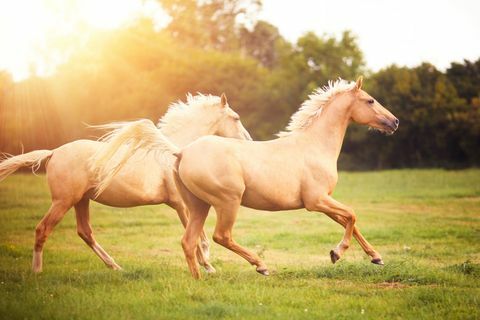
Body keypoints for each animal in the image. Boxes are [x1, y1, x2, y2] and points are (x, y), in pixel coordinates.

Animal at [0, 94, 253, 274]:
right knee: (43, 229)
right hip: (63, 201)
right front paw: (208, 267)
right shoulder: (182, 205)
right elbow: (198, 238)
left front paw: (206, 265)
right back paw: (37, 271)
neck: (174, 152)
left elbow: (198, 236)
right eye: (236, 117)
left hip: (81, 201)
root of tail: (53, 153)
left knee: (85, 232)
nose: (249, 140)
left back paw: (115, 266)